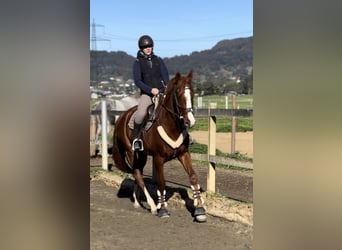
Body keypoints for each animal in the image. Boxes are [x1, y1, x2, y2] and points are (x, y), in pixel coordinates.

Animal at [113, 70, 207, 221]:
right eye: (178, 93)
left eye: (192, 93)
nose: (190, 121)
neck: (171, 126)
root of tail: (122, 117)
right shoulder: (158, 158)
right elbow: (161, 183)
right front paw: (162, 209)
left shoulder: (183, 154)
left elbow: (193, 177)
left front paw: (199, 210)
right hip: (131, 152)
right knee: (138, 175)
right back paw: (151, 205)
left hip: (141, 155)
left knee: (137, 174)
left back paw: (137, 201)